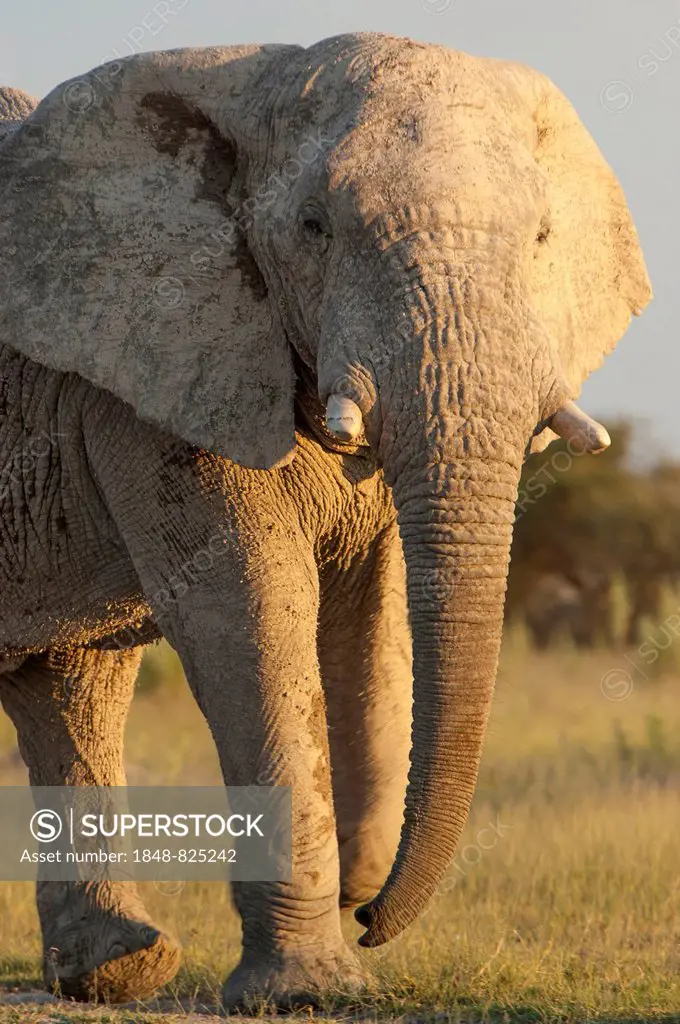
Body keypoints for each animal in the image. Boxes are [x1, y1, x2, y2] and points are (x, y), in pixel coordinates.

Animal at [0, 34, 651, 1007]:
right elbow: (252, 611)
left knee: (71, 684)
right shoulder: (163, 372)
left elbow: (371, 605)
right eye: (315, 228)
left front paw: (359, 881)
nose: (374, 917)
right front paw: (311, 991)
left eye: (540, 239)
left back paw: (119, 969)